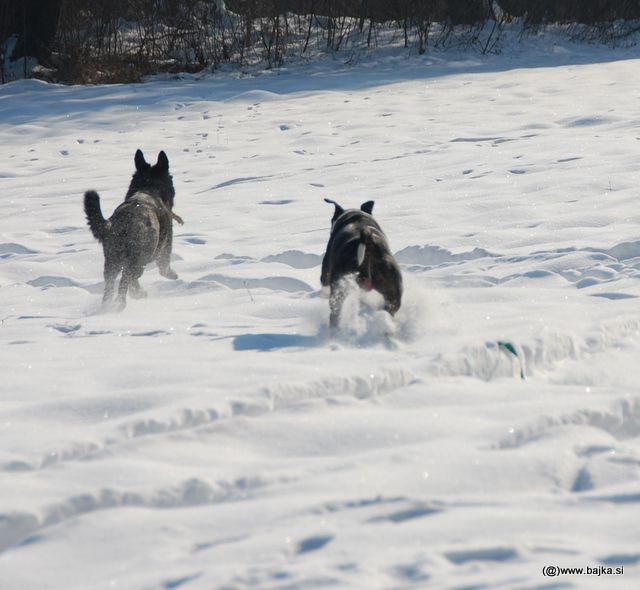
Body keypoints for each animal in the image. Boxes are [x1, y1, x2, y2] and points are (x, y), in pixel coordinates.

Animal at [82, 150, 181, 312]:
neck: (148, 188)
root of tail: (121, 225)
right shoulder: (165, 245)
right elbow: (164, 265)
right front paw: (172, 275)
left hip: (111, 263)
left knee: (111, 287)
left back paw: (108, 306)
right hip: (137, 260)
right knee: (127, 281)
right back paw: (126, 301)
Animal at [322, 198, 402, 328]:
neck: (356, 216)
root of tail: (369, 242)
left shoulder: (326, 271)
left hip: (339, 286)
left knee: (335, 313)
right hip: (391, 286)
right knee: (390, 308)